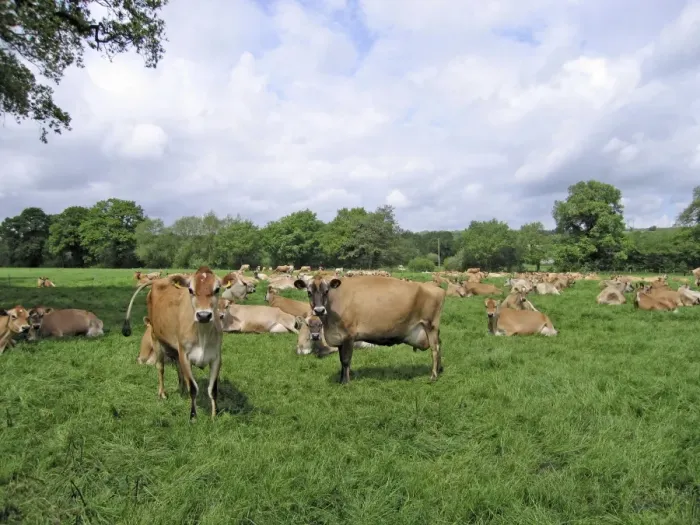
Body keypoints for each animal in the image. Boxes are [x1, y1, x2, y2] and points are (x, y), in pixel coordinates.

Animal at [122, 266, 229, 420]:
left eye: (217, 289)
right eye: (190, 289)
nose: (203, 315)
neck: (202, 334)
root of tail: (160, 280)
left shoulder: (216, 357)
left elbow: (213, 389)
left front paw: (214, 416)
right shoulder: (185, 355)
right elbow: (193, 388)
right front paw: (193, 417)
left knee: (178, 368)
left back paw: (181, 389)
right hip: (156, 337)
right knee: (160, 368)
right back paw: (162, 393)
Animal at [294, 275, 446, 383]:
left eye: (326, 291)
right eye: (309, 292)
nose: (319, 310)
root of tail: (435, 287)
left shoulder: (349, 335)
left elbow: (346, 360)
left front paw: (346, 382)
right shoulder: (340, 338)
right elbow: (341, 360)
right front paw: (341, 379)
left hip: (430, 324)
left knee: (435, 348)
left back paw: (433, 376)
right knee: (439, 344)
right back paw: (440, 369)